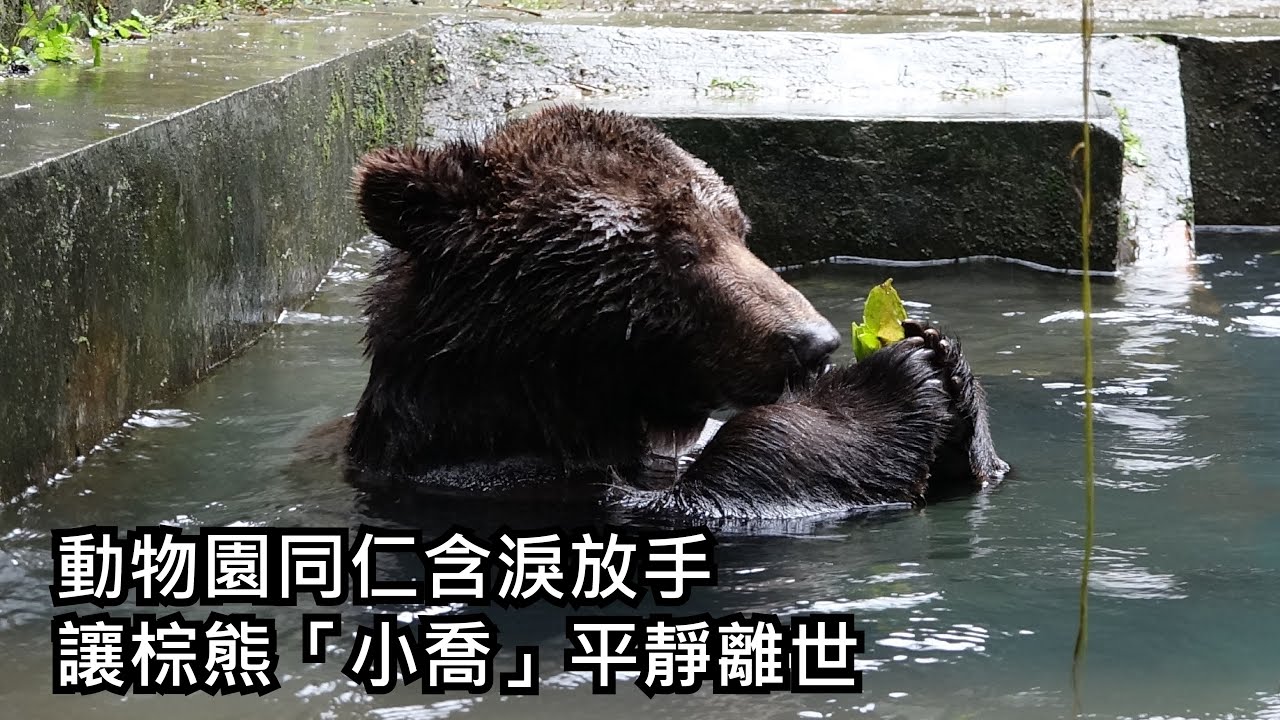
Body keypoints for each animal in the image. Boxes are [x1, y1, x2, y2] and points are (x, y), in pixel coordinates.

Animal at [340, 104, 1007, 521]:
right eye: (683, 250)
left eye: (739, 229)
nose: (814, 342)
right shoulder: (502, 482)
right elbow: (710, 497)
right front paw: (883, 384)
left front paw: (943, 360)